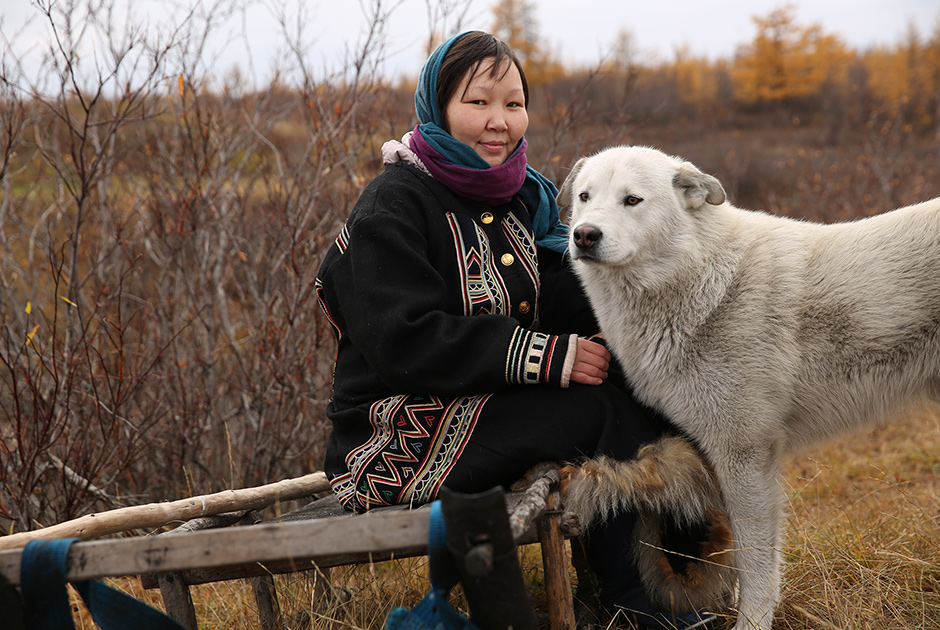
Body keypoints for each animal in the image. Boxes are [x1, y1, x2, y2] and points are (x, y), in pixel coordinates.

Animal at [556, 147, 940, 630]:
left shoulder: (744, 454)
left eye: (632, 200)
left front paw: (751, 622)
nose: (584, 235)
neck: (703, 282)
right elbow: (740, 558)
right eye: (585, 197)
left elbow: (755, 559)